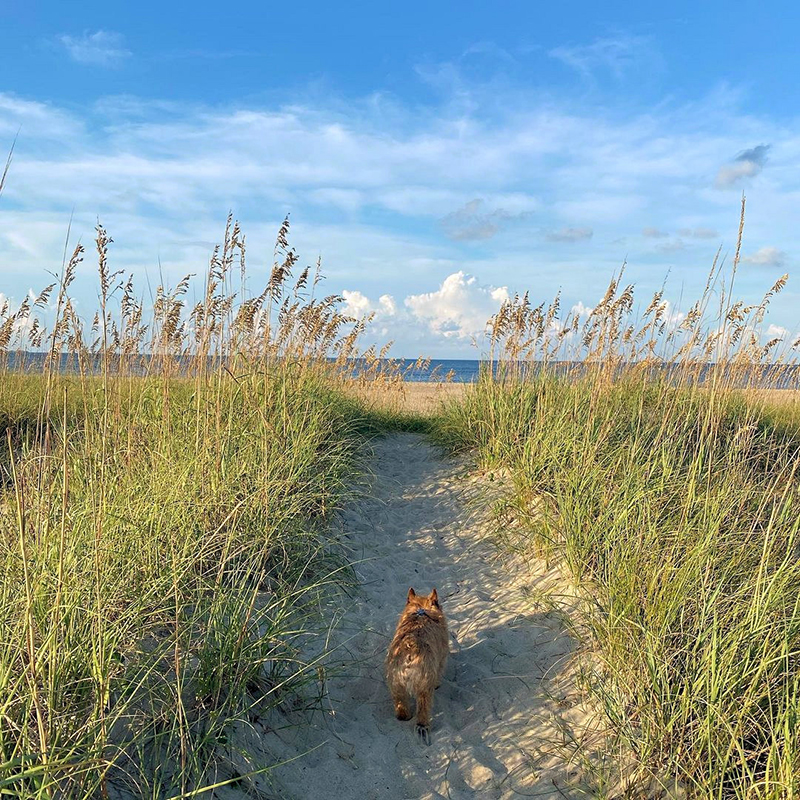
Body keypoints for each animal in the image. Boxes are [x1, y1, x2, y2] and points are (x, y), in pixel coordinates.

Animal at [384, 588, 446, 744]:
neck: (421, 610)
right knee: (423, 709)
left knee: (401, 706)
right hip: (424, 687)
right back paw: (423, 724)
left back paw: (404, 716)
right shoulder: (442, 659)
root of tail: (410, 651)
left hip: (395, 684)